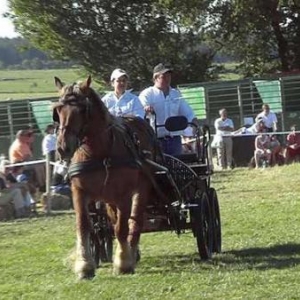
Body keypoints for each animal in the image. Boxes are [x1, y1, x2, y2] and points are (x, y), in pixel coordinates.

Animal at [53, 75, 162, 278]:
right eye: (57, 110)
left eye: (82, 109)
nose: (63, 147)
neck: (98, 152)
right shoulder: (79, 191)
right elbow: (83, 225)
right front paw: (85, 266)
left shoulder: (124, 194)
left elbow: (122, 227)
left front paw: (123, 263)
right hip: (108, 199)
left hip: (140, 189)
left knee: (135, 221)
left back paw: (130, 252)